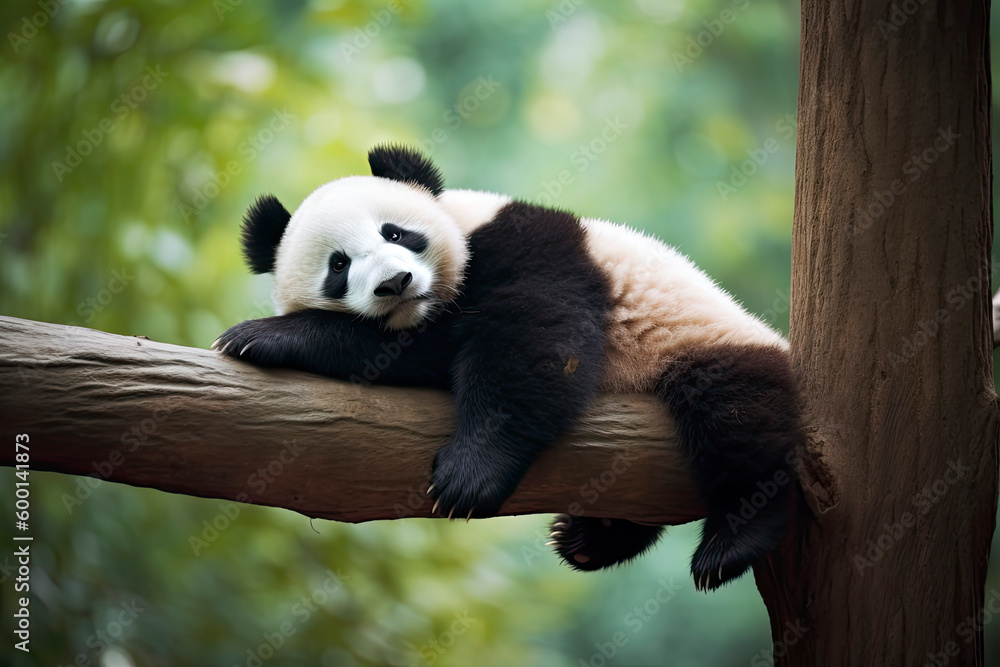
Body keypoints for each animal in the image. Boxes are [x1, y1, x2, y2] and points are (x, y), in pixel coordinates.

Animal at [214, 144, 803, 591]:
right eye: (339, 265)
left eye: (396, 233)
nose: (395, 284)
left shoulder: (534, 248)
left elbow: (533, 342)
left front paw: (467, 478)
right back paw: (591, 539)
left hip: (701, 344)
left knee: (737, 416)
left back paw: (731, 542)